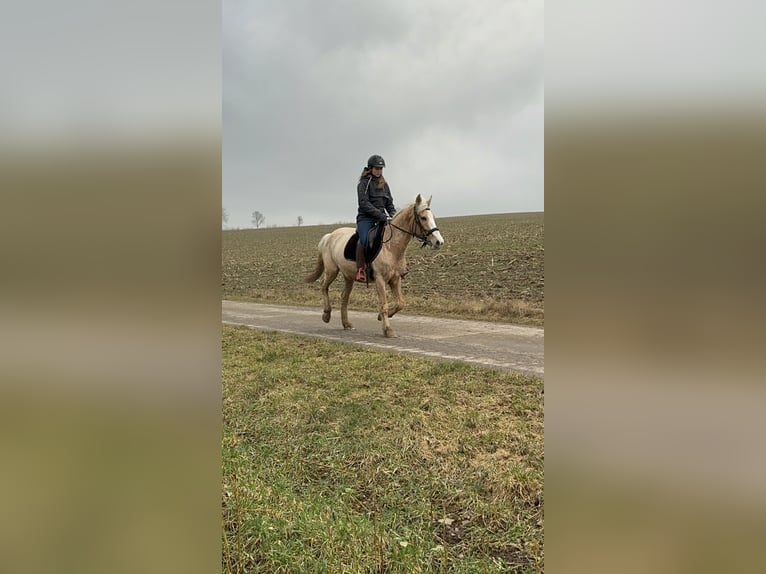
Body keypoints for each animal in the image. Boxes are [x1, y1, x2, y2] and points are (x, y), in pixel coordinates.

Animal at [304, 195, 444, 338]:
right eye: (423, 218)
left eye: (432, 216)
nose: (439, 242)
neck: (390, 247)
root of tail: (329, 236)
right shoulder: (380, 280)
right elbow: (384, 304)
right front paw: (388, 329)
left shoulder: (395, 279)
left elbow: (400, 303)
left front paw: (381, 317)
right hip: (332, 271)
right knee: (323, 286)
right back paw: (326, 315)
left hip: (348, 276)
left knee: (344, 297)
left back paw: (346, 324)